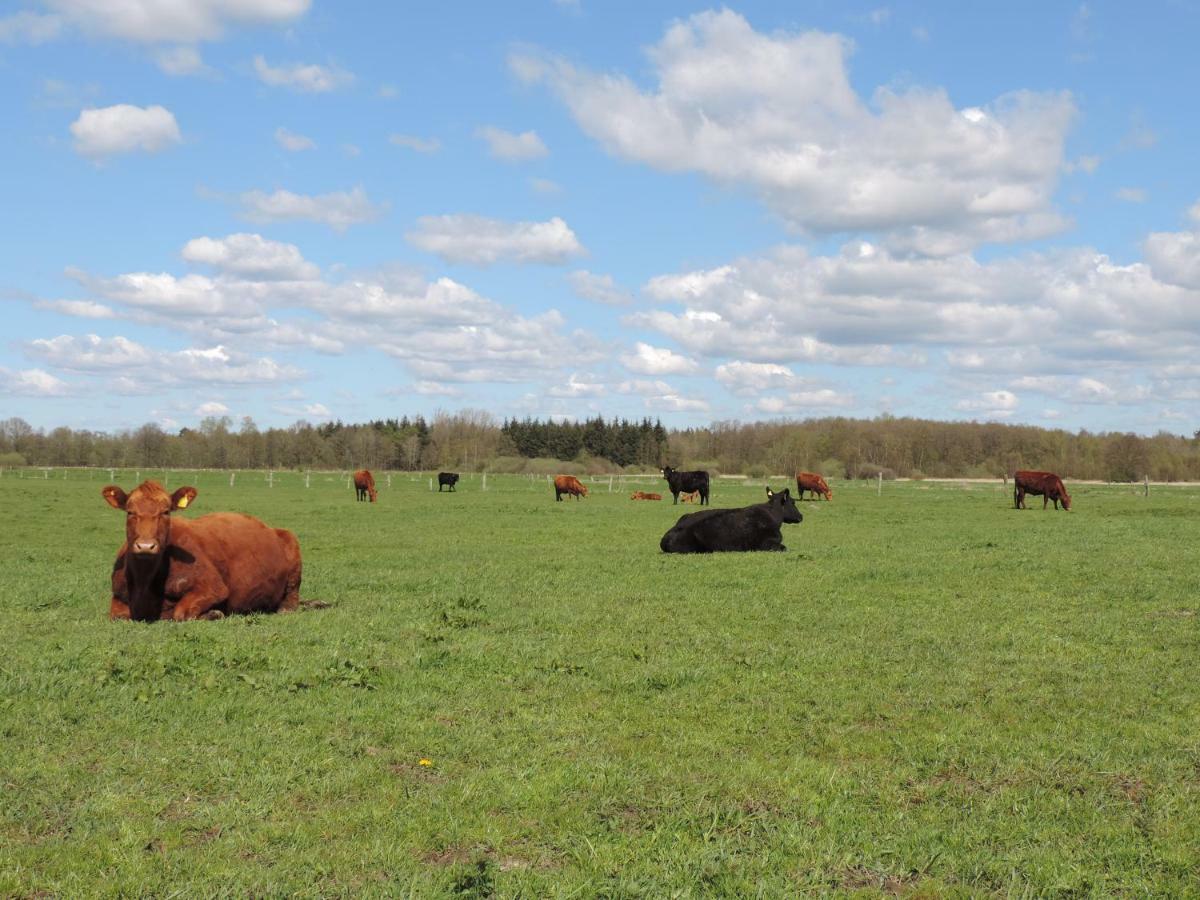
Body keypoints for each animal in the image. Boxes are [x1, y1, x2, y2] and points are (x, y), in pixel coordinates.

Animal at [100, 482, 302, 624]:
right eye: (130, 512)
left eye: (166, 512)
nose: (145, 545)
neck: (145, 584)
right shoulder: (118, 597)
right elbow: (116, 615)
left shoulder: (213, 587)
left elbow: (181, 613)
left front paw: (214, 613)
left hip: (293, 551)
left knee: (291, 598)